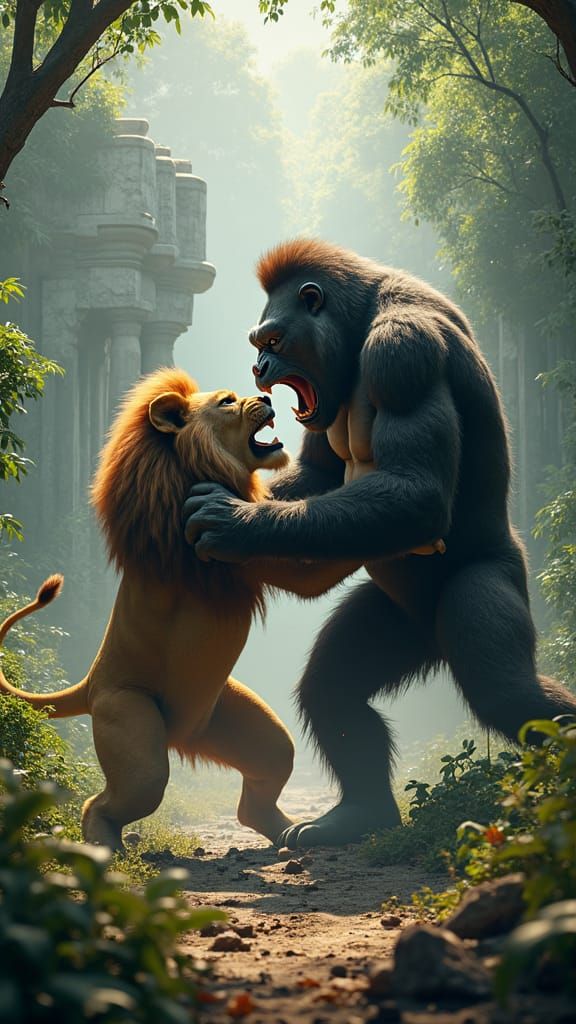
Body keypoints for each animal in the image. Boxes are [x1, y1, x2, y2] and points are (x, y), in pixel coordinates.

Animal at [0, 368, 361, 851]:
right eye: (228, 401)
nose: (267, 398)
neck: (193, 468)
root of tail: (90, 681)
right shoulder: (229, 543)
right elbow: (316, 564)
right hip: (129, 721)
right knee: (110, 797)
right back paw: (105, 845)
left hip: (230, 720)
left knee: (264, 778)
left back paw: (288, 831)